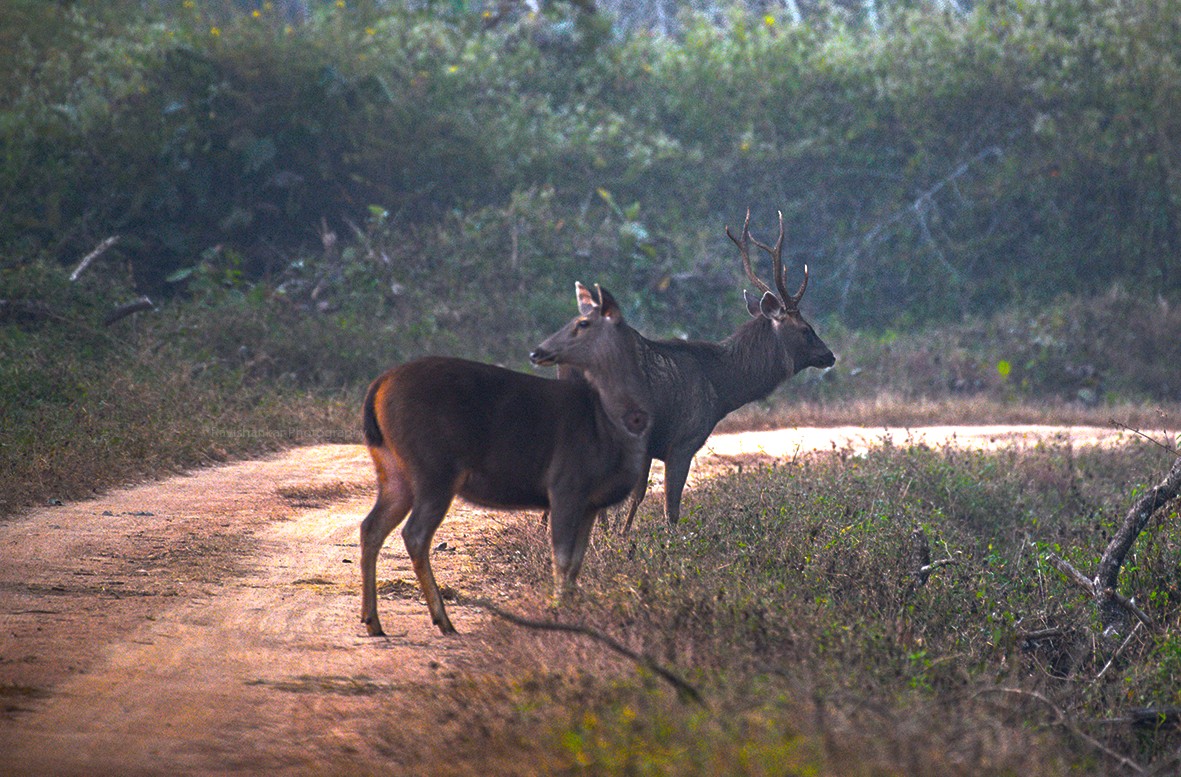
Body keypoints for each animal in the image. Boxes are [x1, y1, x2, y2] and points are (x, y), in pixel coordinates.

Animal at [359, 284, 652, 636]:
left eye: (582, 323)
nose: (537, 351)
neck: (609, 426)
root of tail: (377, 387)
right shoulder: (566, 483)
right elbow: (562, 558)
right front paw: (559, 613)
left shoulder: (590, 503)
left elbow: (577, 563)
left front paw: (570, 609)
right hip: (434, 466)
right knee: (414, 534)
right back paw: (443, 620)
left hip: (393, 467)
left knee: (371, 526)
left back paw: (373, 621)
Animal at [547, 209, 835, 534]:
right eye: (806, 329)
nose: (830, 355)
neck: (721, 389)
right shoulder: (683, 440)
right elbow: (669, 506)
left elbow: (637, 495)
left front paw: (619, 535)